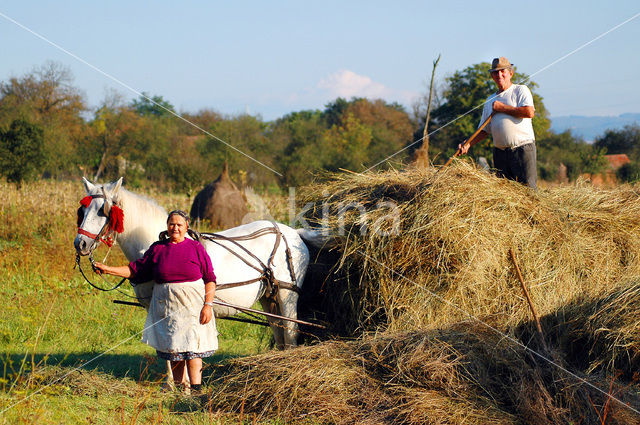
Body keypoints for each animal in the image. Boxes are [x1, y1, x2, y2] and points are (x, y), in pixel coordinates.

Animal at [74, 177, 312, 350]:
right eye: (82, 211)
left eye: (102, 211)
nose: (80, 243)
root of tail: (292, 233)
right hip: (269, 297)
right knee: (279, 334)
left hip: (287, 295)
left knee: (291, 332)